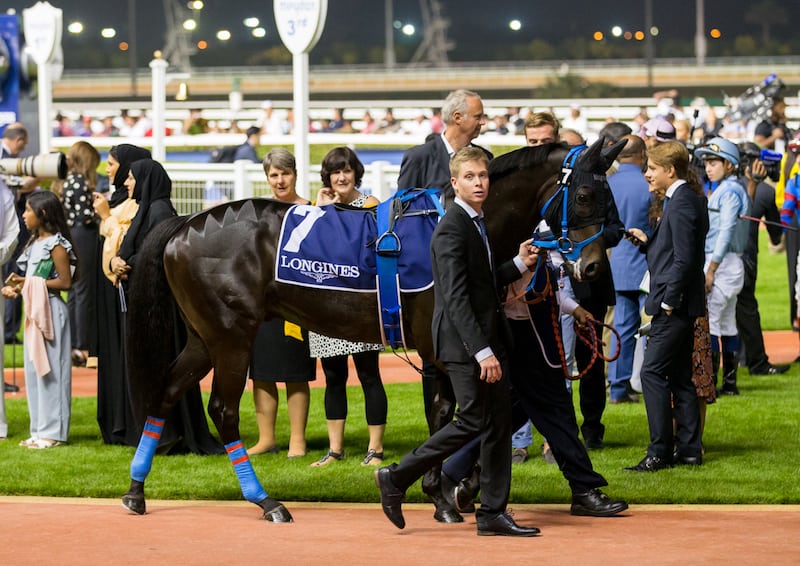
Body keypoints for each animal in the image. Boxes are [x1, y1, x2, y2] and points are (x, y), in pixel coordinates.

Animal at [122, 138, 620, 524]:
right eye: (585, 196)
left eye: (609, 194)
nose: (595, 266)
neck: (452, 220)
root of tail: (187, 224)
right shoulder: (441, 347)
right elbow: (453, 415)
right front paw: (444, 493)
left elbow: (458, 415)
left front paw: (448, 492)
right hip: (231, 337)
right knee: (223, 410)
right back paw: (266, 501)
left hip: (204, 337)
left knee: (166, 393)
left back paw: (135, 491)